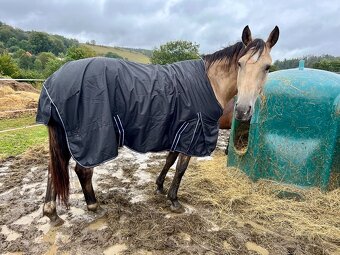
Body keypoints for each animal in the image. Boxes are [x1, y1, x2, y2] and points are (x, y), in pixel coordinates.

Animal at [36, 25, 278, 225]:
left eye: (267, 67)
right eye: (239, 64)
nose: (243, 110)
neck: (210, 83)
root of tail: (55, 79)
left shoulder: (179, 131)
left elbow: (170, 160)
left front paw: (160, 186)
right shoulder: (192, 132)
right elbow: (180, 168)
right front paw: (174, 200)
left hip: (66, 135)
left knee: (55, 168)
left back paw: (52, 213)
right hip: (92, 137)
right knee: (83, 170)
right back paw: (94, 206)